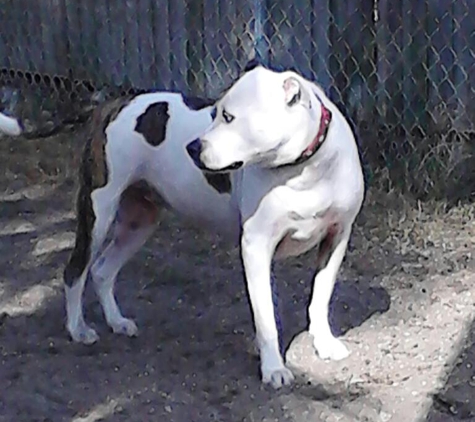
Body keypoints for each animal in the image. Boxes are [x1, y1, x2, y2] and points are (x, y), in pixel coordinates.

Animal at [64, 62, 364, 390]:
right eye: (213, 112)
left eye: (228, 117)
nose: (192, 147)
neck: (305, 168)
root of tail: (115, 104)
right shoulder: (256, 246)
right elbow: (266, 318)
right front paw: (273, 368)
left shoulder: (336, 237)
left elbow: (321, 294)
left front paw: (324, 343)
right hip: (98, 212)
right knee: (75, 271)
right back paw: (78, 329)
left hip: (139, 222)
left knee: (103, 270)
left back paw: (117, 321)